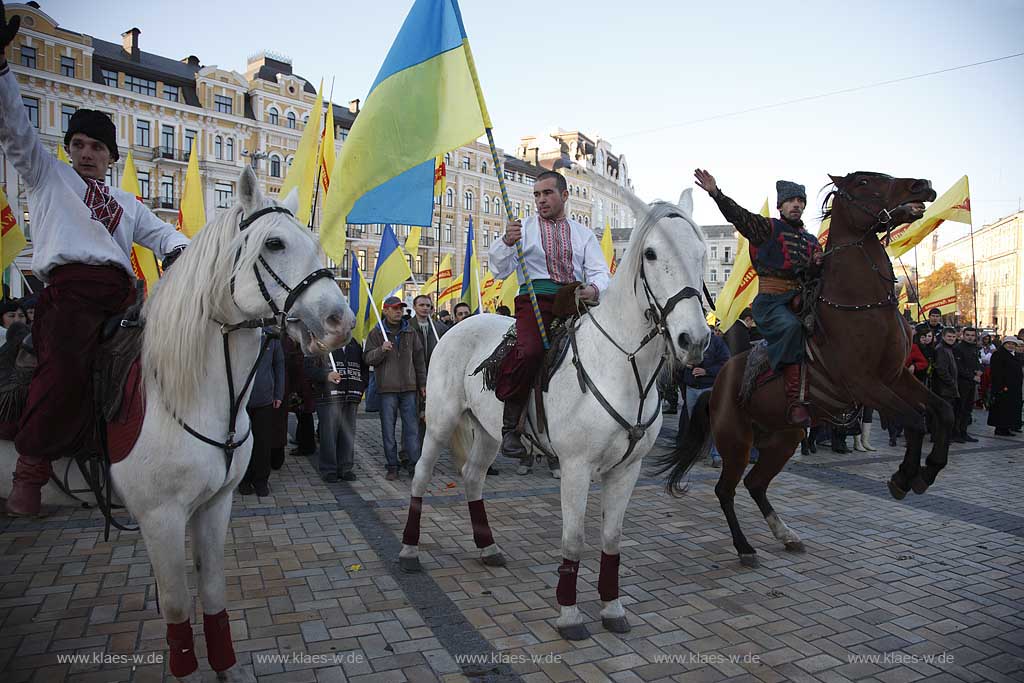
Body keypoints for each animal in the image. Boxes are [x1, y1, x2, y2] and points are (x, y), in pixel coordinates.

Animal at [3, 166, 356, 683]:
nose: (341, 322)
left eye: (315, 242)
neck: (193, 395)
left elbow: (212, 592)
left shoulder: (214, 505)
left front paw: (226, 668)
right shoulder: (160, 517)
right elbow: (175, 606)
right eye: (273, 244)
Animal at [399, 191, 712, 643]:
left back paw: (488, 547)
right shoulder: (576, 467)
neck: (621, 366)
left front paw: (612, 608)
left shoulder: (627, 469)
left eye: (702, 254)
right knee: (421, 477)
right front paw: (569, 614)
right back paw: (409, 549)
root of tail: (459, 324)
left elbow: (612, 539)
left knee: (473, 477)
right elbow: (573, 539)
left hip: (489, 432)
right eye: (651, 254)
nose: (695, 340)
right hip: (439, 422)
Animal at [655, 172, 942, 573]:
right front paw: (904, 478)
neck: (860, 306)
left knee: (756, 484)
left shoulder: (896, 377)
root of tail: (719, 386)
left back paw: (786, 535)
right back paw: (745, 546)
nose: (923, 185)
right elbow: (916, 420)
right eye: (865, 180)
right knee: (726, 489)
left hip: (783, 439)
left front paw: (928, 470)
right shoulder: (864, 384)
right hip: (736, 442)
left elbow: (941, 411)